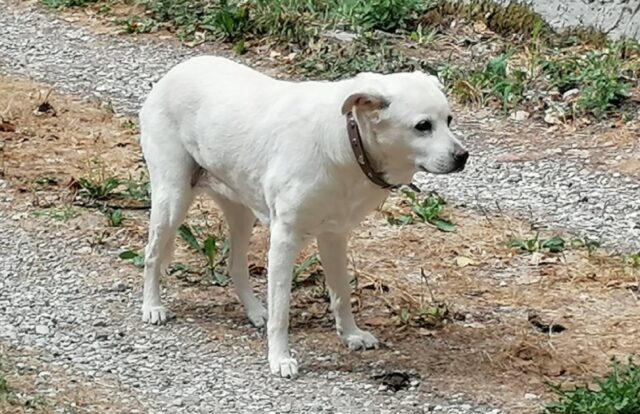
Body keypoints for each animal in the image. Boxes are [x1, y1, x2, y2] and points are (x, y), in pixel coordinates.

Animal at [139, 55, 470, 378]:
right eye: (423, 126)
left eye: (449, 120)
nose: (463, 156)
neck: (348, 141)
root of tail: (172, 73)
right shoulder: (284, 240)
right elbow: (282, 309)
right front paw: (280, 358)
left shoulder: (334, 237)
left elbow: (341, 293)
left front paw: (350, 334)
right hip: (173, 199)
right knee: (152, 254)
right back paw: (152, 306)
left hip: (241, 212)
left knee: (235, 266)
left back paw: (255, 311)